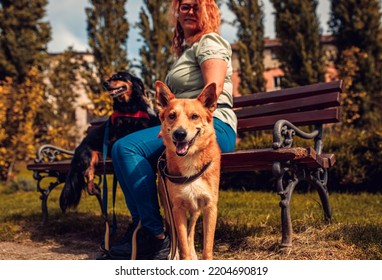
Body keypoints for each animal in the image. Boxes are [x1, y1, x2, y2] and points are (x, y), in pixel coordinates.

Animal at [59, 71, 160, 212]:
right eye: (111, 78)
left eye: (120, 77)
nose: (105, 83)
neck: (128, 107)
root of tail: (77, 150)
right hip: (89, 155)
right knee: (88, 173)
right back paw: (94, 188)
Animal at [155, 81, 221, 260]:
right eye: (172, 116)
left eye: (194, 116)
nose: (180, 134)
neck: (190, 159)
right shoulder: (177, 209)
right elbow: (182, 245)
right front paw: (182, 256)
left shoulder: (210, 207)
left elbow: (206, 248)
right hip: (168, 208)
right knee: (175, 236)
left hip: (196, 210)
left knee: (190, 233)